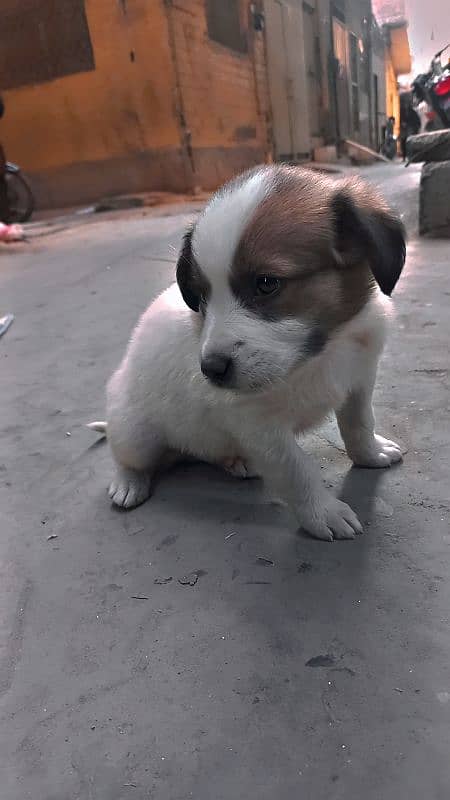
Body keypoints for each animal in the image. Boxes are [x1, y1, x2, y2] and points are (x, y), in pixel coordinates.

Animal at [89, 165, 406, 540]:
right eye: (201, 295)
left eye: (266, 283)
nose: (210, 370)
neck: (322, 353)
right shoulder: (258, 426)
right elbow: (297, 471)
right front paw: (322, 513)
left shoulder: (359, 381)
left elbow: (359, 424)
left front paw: (370, 454)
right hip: (134, 434)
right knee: (127, 458)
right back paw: (128, 483)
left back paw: (235, 461)